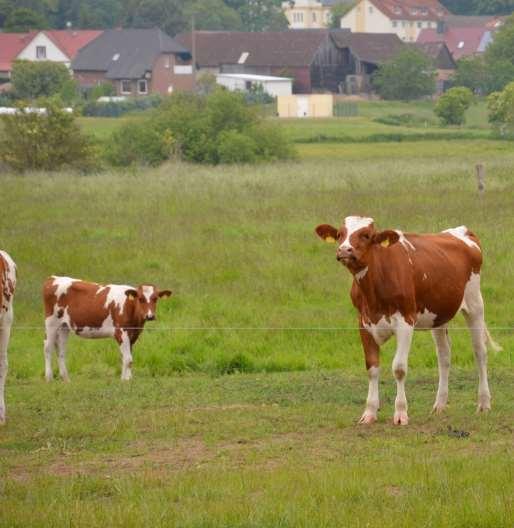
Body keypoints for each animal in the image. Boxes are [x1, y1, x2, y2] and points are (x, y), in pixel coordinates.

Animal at [43, 274, 171, 382]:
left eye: (155, 298)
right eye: (140, 299)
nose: (150, 316)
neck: (129, 307)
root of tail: (53, 278)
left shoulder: (133, 334)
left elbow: (127, 357)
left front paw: (126, 378)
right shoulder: (121, 332)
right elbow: (128, 359)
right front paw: (126, 380)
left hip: (63, 326)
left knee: (61, 350)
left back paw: (66, 379)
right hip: (51, 323)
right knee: (48, 347)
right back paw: (49, 378)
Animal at [314, 214, 498, 424]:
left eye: (366, 235)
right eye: (339, 234)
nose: (345, 249)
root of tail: (461, 231)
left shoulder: (405, 321)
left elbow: (399, 368)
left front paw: (400, 413)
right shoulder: (364, 322)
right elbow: (372, 367)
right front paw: (369, 412)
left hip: (475, 304)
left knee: (480, 352)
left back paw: (484, 403)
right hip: (438, 316)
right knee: (444, 355)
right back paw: (439, 405)